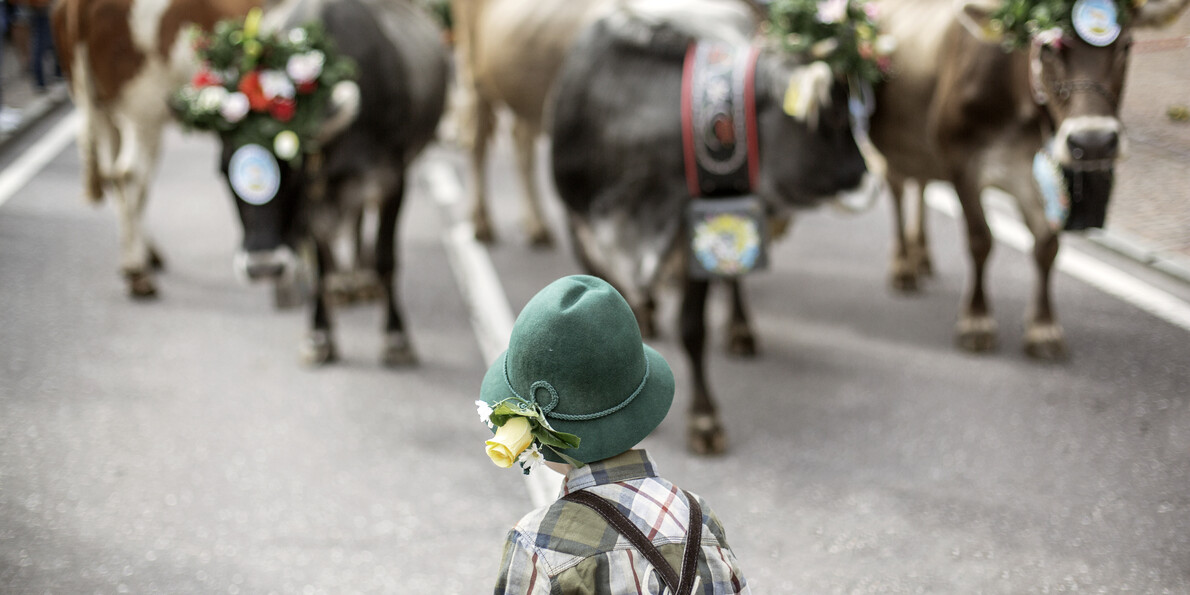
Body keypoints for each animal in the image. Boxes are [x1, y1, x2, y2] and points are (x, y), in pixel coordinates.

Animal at [52, 0, 261, 297]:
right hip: (143, 108)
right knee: (129, 175)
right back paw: (137, 272)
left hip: (101, 107)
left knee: (117, 176)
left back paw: (145, 255)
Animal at [204, 0, 447, 364]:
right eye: (222, 171)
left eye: (297, 171)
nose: (264, 267)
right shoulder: (313, 208)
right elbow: (319, 267)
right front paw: (320, 335)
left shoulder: (392, 181)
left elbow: (385, 259)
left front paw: (396, 337)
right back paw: (342, 286)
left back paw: (359, 281)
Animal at [552, 4, 871, 452]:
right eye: (838, 115)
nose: (863, 171)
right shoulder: (580, 228)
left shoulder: (692, 234)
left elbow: (692, 329)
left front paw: (704, 420)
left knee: (734, 275)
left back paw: (740, 330)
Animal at [866, 0, 1190, 357]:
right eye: (1048, 48)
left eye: (1128, 45)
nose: (1093, 142)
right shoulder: (961, 163)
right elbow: (980, 239)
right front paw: (977, 321)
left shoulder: (1043, 176)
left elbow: (1047, 247)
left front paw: (1043, 328)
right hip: (894, 145)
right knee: (898, 187)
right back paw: (903, 267)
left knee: (921, 185)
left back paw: (922, 256)